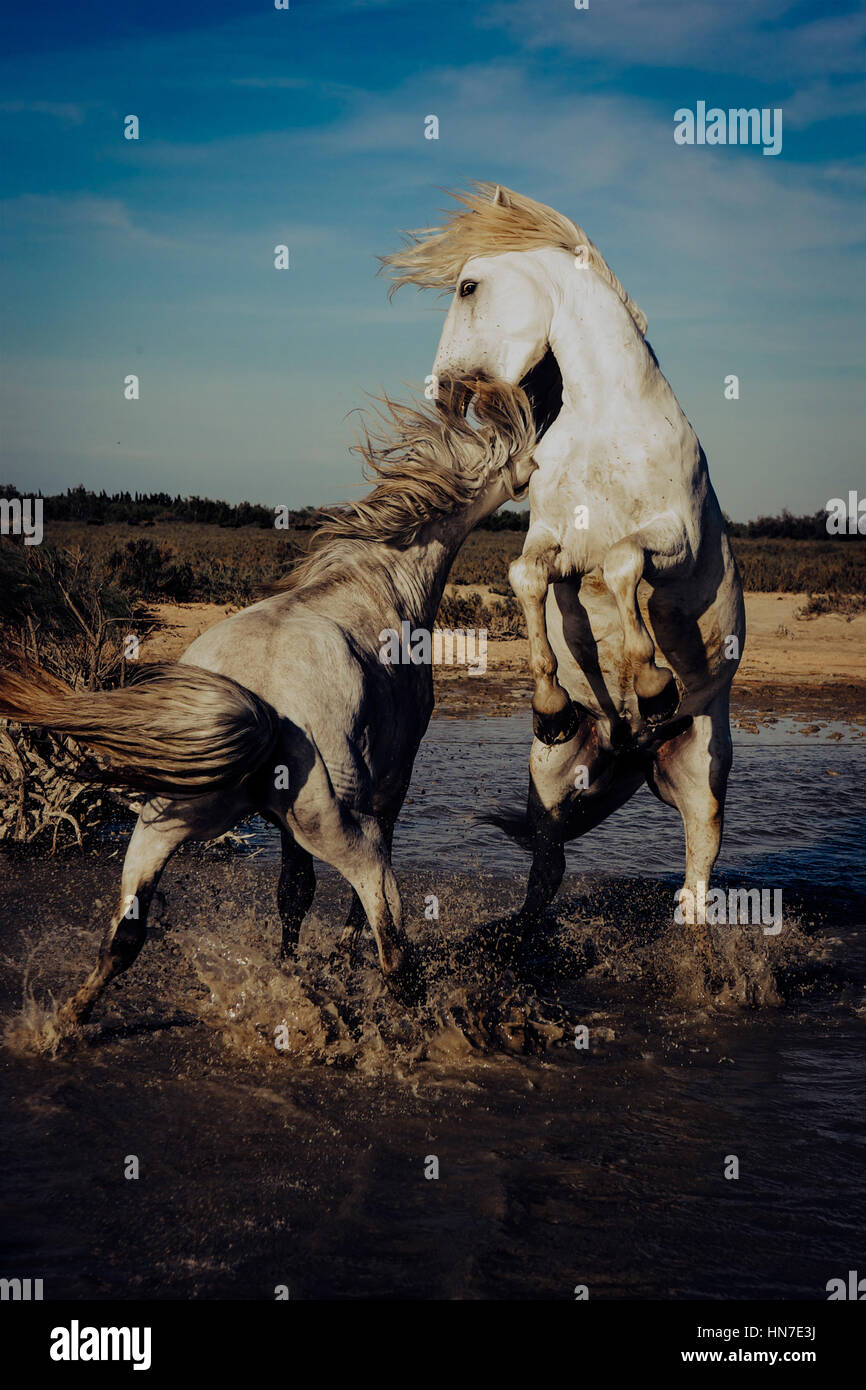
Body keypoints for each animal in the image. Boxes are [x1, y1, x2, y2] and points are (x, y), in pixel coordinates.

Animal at [0, 378, 539, 1023]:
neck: (382, 579)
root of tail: (259, 702)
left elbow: (292, 894)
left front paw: (291, 969)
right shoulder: (393, 778)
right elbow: (338, 899)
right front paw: (329, 963)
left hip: (163, 823)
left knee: (125, 936)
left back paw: (65, 1022)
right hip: (339, 829)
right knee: (390, 936)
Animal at [383, 184, 745, 956]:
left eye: (467, 286)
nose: (443, 393)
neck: (610, 423)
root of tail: (630, 753)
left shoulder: (676, 536)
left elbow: (624, 561)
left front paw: (652, 683)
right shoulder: (551, 538)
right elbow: (529, 577)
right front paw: (550, 704)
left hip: (705, 780)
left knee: (696, 882)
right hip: (551, 783)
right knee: (546, 871)